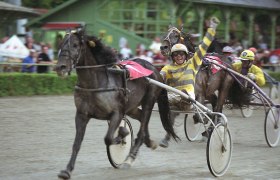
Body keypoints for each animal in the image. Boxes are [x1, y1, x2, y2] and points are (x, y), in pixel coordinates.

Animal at [55, 28, 177, 179]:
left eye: (75, 45)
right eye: (61, 44)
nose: (61, 67)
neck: (96, 83)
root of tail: (155, 69)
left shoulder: (117, 113)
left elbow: (108, 138)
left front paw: (123, 135)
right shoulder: (82, 114)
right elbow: (77, 143)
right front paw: (67, 170)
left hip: (149, 100)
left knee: (142, 127)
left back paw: (129, 159)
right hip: (132, 107)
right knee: (142, 120)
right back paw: (149, 142)